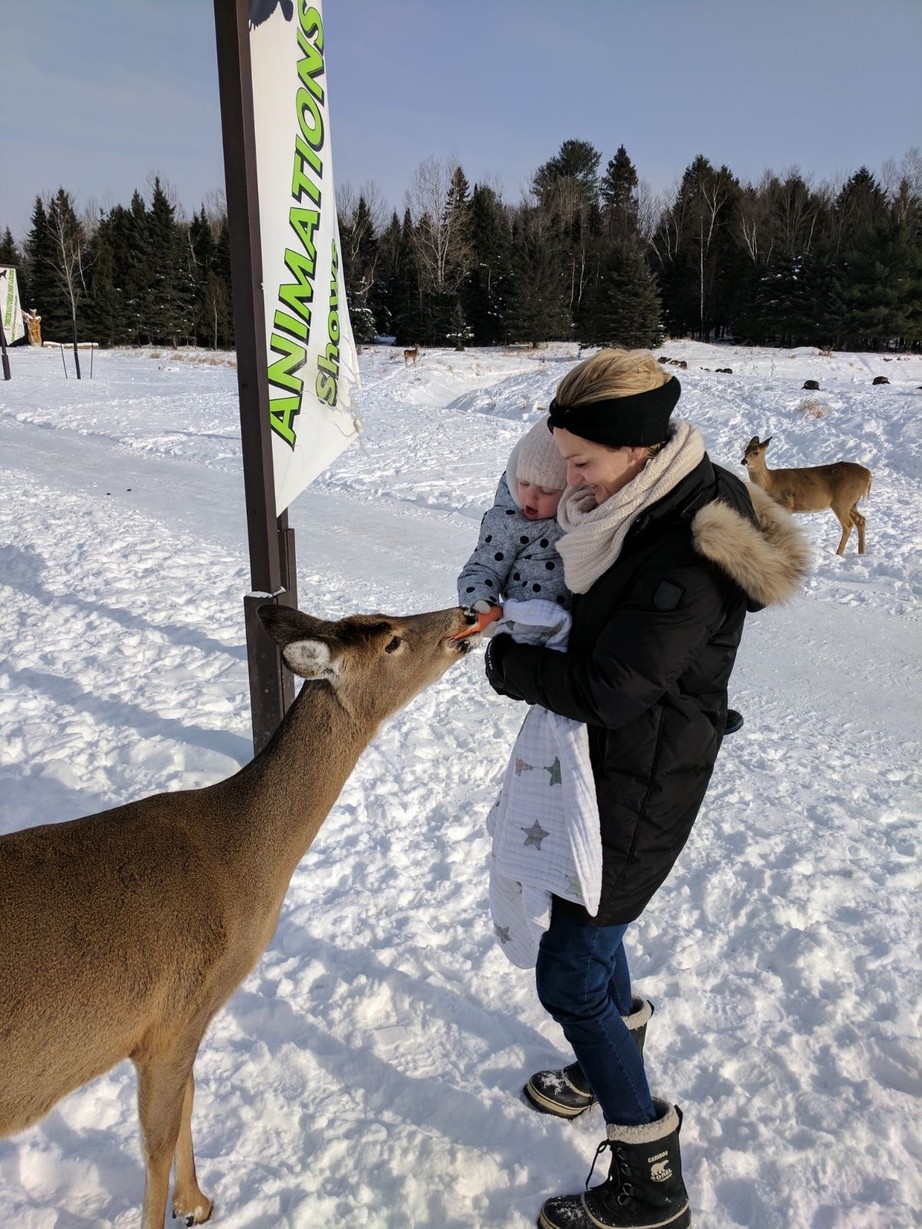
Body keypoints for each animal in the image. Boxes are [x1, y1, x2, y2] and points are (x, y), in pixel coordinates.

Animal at [0, 600, 485, 1229]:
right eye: (393, 642)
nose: (466, 613)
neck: (244, 864)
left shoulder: (188, 1021)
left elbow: (191, 1098)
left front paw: (199, 1203)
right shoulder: (170, 1017)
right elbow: (157, 1144)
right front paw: (186, 1205)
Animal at [741, 435, 872, 555]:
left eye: (756, 452)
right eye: (745, 450)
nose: (744, 461)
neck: (770, 483)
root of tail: (868, 474)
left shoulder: (787, 505)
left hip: (842, 501)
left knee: (848, 525)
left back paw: (838, 554)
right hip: (852, 503)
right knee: (861, 520)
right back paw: (861, 553)